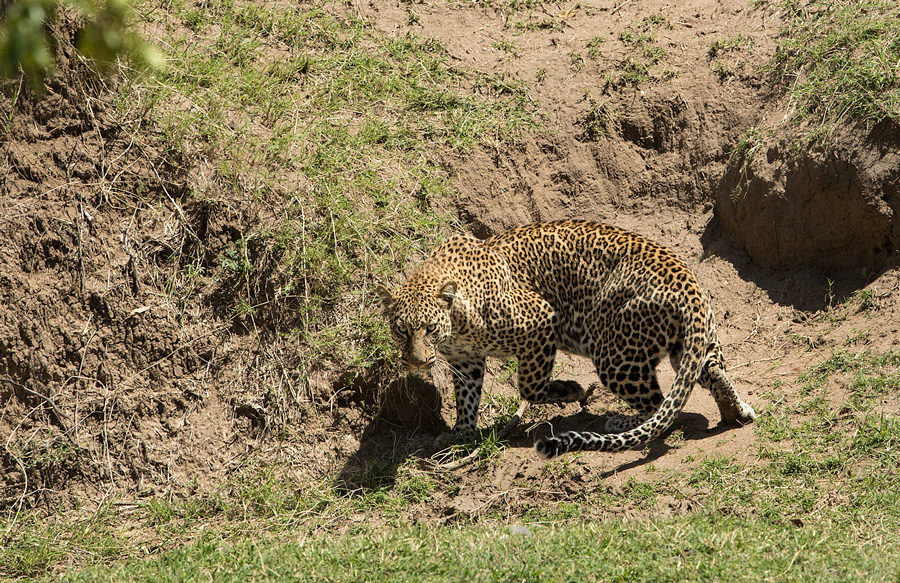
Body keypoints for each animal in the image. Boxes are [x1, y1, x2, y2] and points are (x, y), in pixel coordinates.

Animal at [376, 221, 756, 458]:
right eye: (402, 329)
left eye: (428, 328)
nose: (416, 361)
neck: (456, 323)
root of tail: (685, 277)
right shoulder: (465, 360)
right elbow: (466, 398)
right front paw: (462, 434)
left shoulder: (540, 318)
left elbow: (529, 385)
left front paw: (569, 390)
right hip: (690, 345)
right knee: (710, 373)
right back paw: (736, 412)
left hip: (614, 355)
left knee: (659, 405)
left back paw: (622, 421)